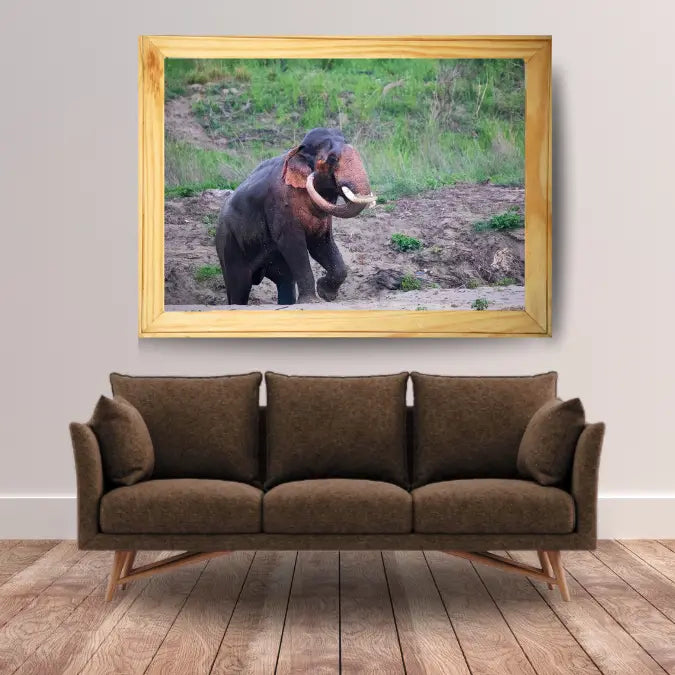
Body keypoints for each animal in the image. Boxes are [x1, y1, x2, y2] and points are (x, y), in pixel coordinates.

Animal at [215, 127, 375, 305]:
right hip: (228, 245)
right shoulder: (280, 204)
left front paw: (325, 294)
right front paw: (312, 301)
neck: (299, 150)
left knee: (285, 281)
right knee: (239, 286)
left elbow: (321, 243)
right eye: (332, 159)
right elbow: (294, 245)